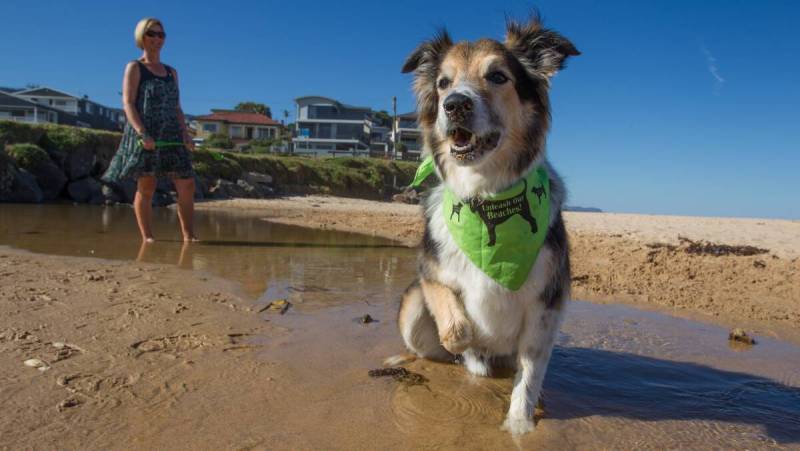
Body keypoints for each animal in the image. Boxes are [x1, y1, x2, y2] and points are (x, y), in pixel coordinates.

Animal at [390, 15, 580, 436]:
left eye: (497, 76)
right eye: (443, 83)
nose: (454, 104)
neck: (485, 190)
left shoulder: (546, 305)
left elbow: (529, 374)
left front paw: (519, 425)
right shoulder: (428, 269)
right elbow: (454, 321)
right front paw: (467, 340)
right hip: (411, 307)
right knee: (430, 350)